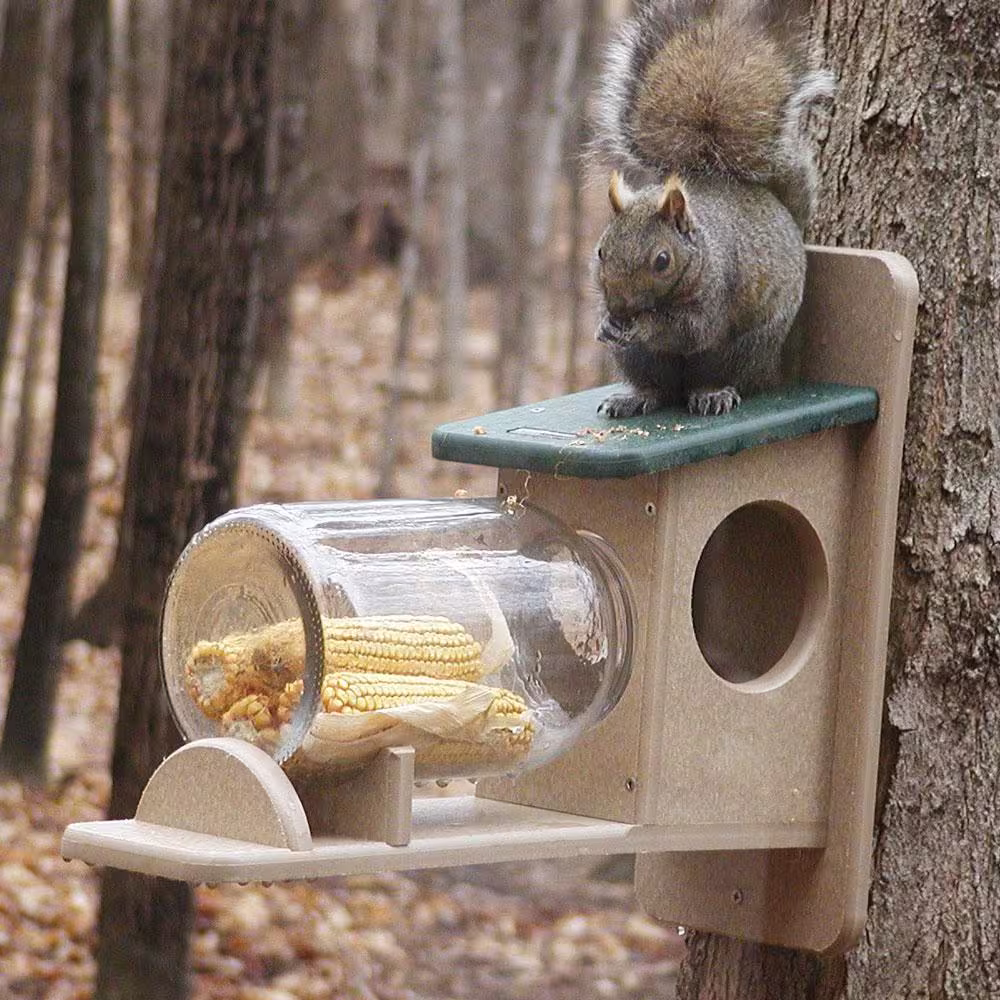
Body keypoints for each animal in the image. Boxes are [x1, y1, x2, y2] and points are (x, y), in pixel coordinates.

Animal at [590, 0, 833, 418]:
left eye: (662, 260)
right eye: (601, 251)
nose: (619, 311)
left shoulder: (717, 289)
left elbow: (690, 330)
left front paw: (645, 326)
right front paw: (605, 325)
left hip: (744, 348)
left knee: (717, 373)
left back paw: (712, 393)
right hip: (638, 359)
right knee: (657, 387)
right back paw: (635, 397)